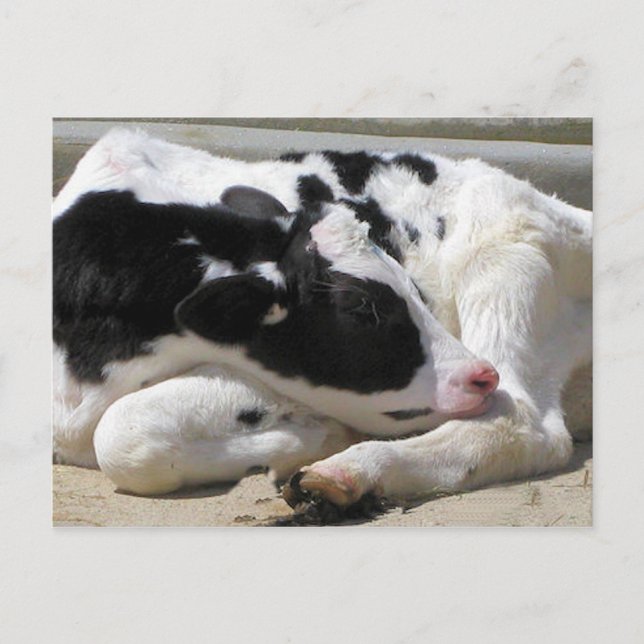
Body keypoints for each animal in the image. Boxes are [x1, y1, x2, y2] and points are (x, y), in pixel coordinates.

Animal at [53, 128, 592, 509]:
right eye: (361, 308)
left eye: (412, 288)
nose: (478, 374)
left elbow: (122, 430)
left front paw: (313, 440)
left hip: (503, 265)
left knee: (522, 423)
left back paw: (347, 471)